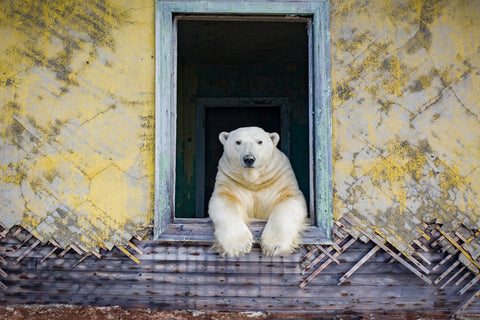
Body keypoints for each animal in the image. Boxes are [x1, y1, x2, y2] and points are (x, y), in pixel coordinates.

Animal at [209, 126, 308, 256]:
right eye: (238, 142)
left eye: (260, 142)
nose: (249, 159)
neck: (254, 181)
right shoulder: (230, 180)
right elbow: (225, 200)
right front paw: (239, 245)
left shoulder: (279, 178)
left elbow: (288, 200)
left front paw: (274, 245)